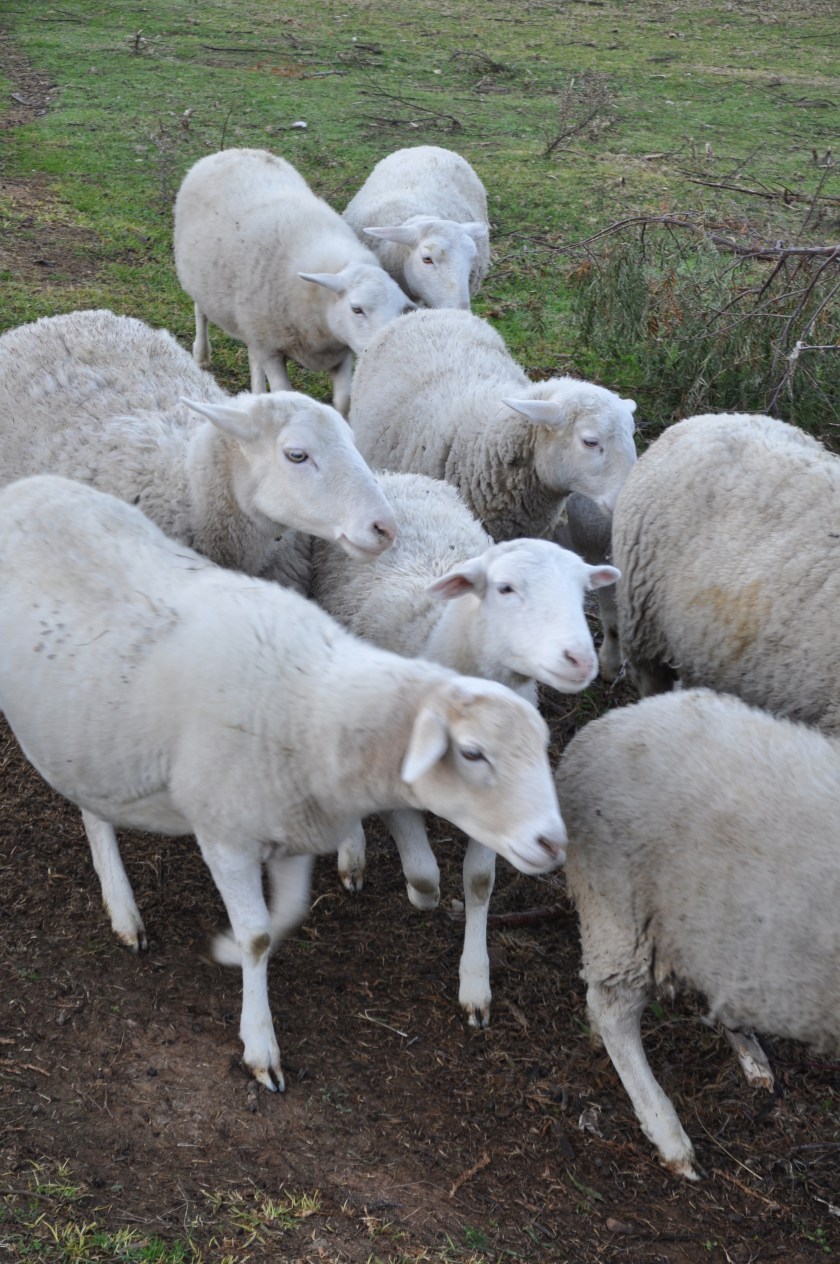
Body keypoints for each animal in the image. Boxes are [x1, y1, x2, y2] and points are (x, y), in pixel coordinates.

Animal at [0, 473, 566, 1090]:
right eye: (470, 752)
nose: (553, 843)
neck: (314, 704)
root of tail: (28, 486)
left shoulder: (291, 827)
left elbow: (286, 915)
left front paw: (229, 950)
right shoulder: (224, 836)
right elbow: (258, 936)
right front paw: (260, 1046)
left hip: (88, 731)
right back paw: (125, 911)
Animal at [173, 147, 415, 413]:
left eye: (401, 310)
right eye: (356, 309)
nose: (384, 351)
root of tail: (234, 151)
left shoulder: (341, 351)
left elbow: (344, 401)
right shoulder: (271, 350)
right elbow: (284, 392)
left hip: (250, 321)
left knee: (251, 353)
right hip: (201, 281)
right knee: (201, 313)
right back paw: (202, 355)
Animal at [285, 470, 619, 1026]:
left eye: (580, 592)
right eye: (505, 588)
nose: (580, 658)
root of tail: (399, 475)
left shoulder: (505, 800)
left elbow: (479, 881)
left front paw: (475, 983)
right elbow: (424, 877)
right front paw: (423, 895)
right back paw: (352, 852)